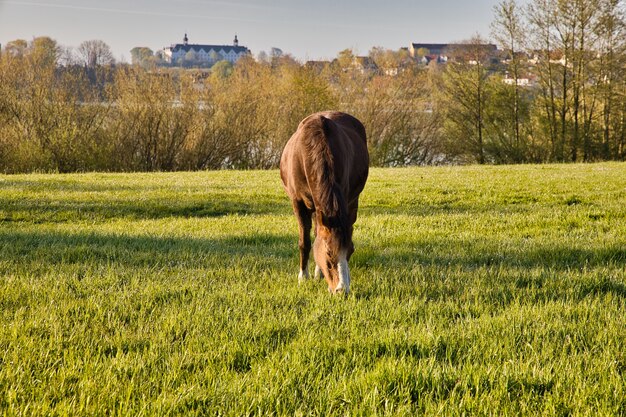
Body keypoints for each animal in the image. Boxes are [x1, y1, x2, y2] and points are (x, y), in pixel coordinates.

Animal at [276, 110, 366, 292]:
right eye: (329, 253)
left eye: (351, 251)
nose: (342, 290)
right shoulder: (298, 203)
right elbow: (305, 241)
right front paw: (303, 277)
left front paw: (318, 274)